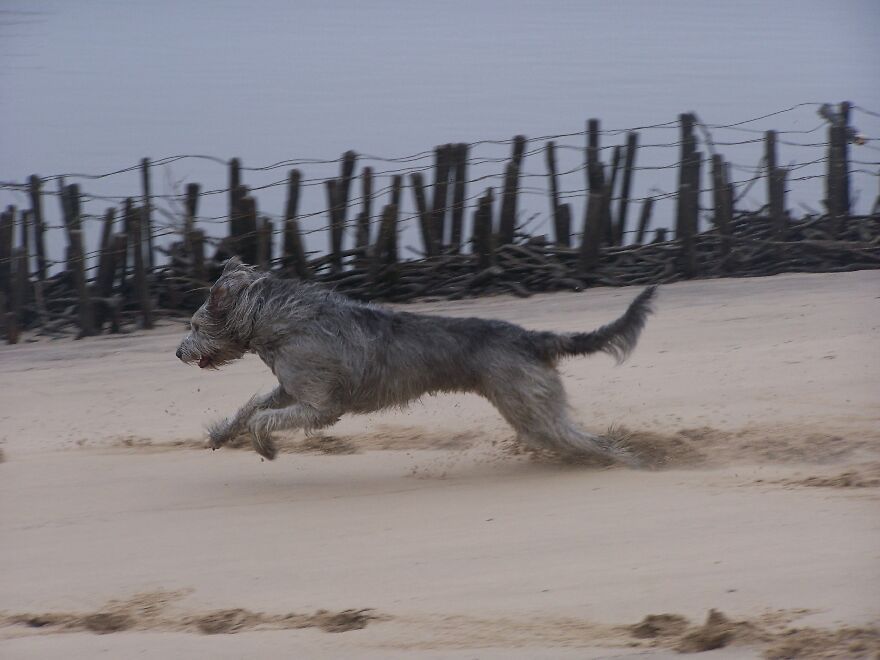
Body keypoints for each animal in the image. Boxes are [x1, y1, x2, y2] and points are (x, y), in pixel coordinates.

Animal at [175, 258, 656, 464]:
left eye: (195, 324)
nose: (178, 351)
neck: (277, 321)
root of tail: (530, 338)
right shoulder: (291, 386)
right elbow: (253, 406)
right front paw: (221, 433)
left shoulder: (321, 404)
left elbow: (265, 417)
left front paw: (267, 446)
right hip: (528, 404)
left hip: (527, 405)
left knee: (582, 439)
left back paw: (634, 460)